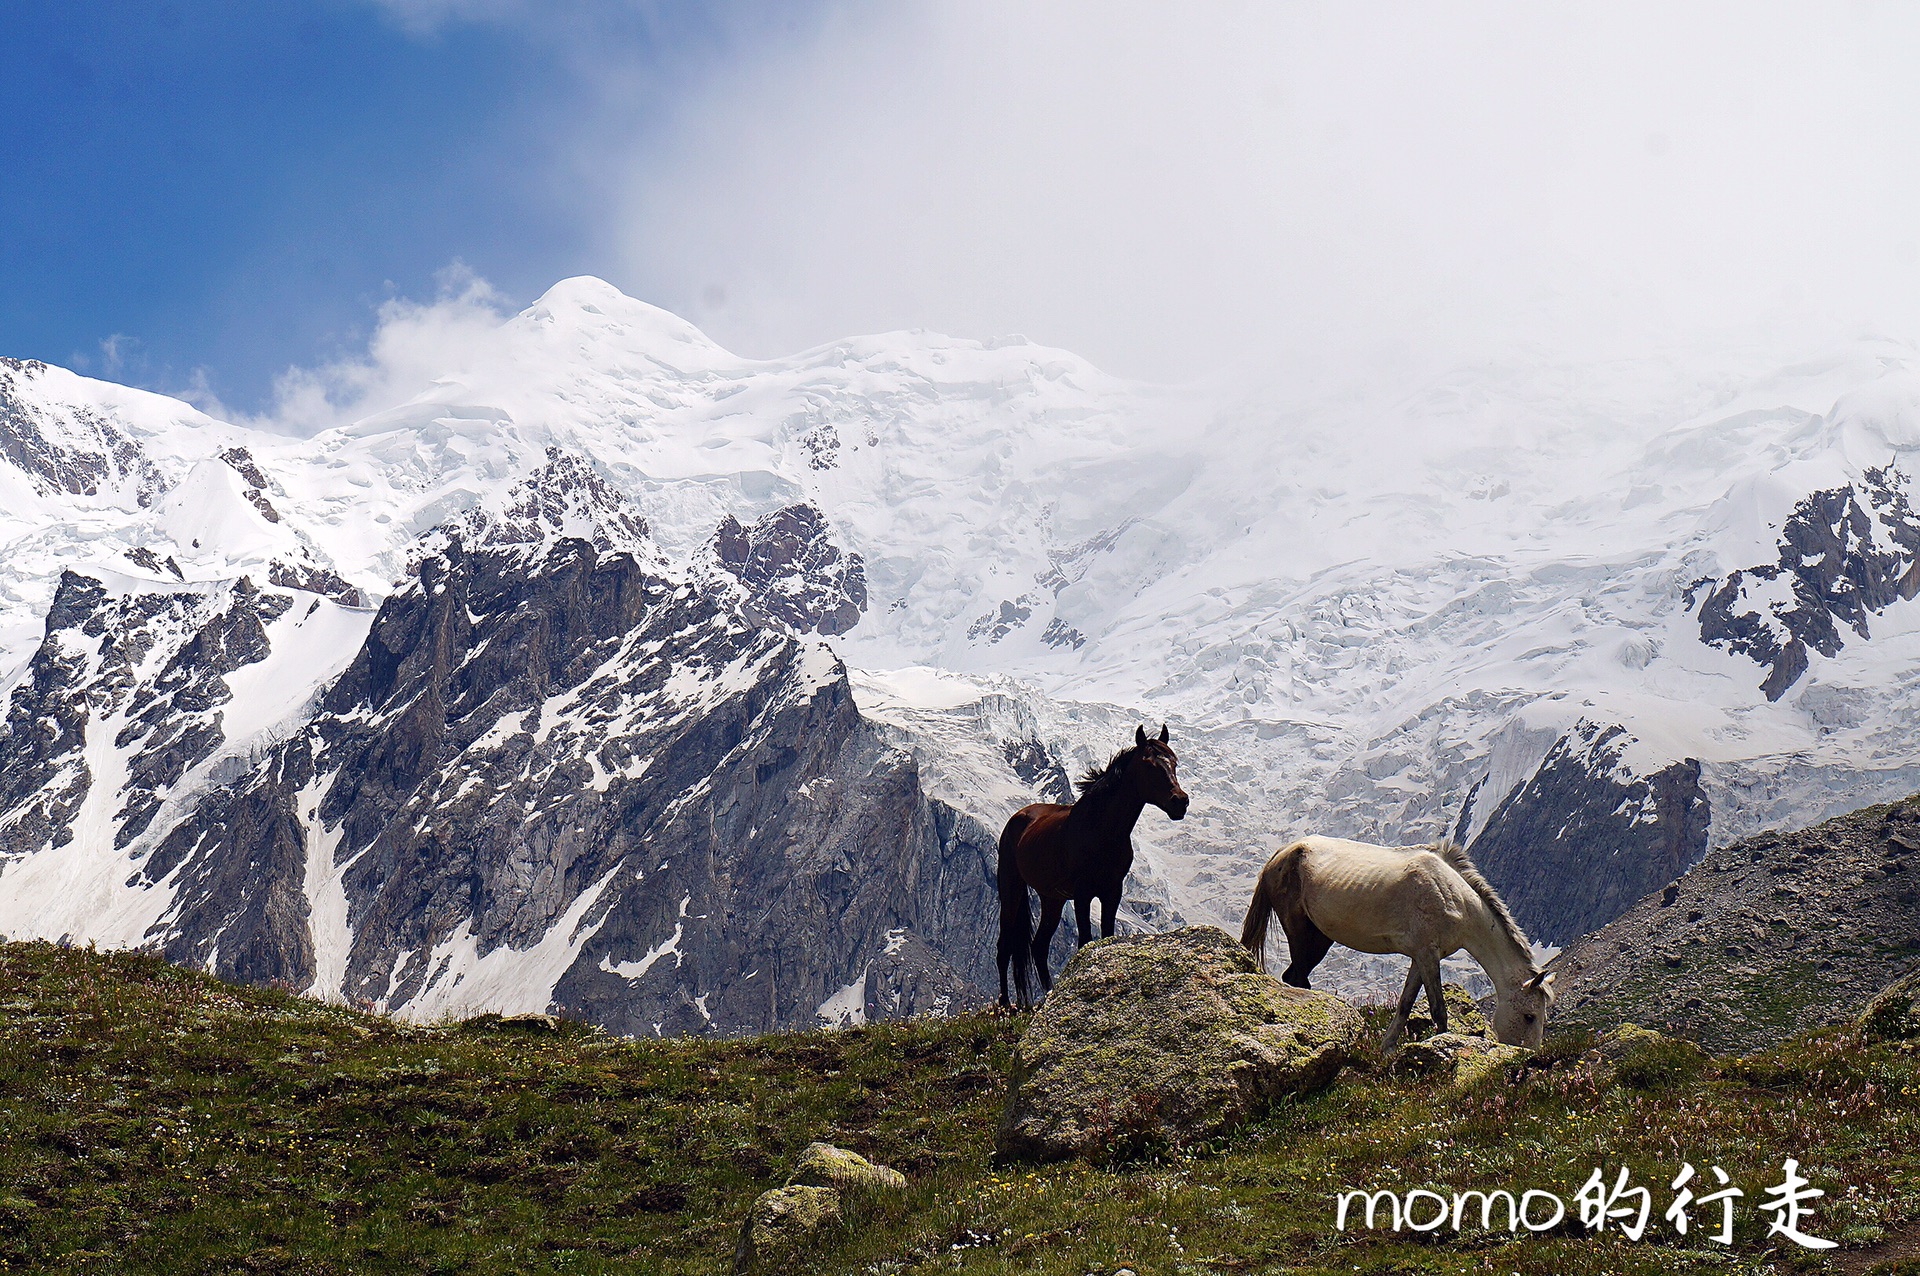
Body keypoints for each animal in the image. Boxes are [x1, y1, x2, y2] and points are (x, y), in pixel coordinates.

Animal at [1006, 725, 1182, 1005]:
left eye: (1174, 762)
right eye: (1149, 764)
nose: (1180, 801)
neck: (1102, 830)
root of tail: (1020, 816)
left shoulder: (1112, 891)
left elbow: (1106, 936)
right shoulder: (1083, 893)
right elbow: (1085, 940)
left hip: (1052, 899)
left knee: (1039, 946)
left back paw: (1049, 993)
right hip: (1010, 886)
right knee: (1003, 948)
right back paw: (1005, 1004)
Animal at [1236, 836, 1551, 1043]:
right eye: (1529, 1016)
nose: (1526, 1054)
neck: (1455, 898)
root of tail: (1281, 854)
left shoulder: (1421, 956)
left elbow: (1404, 1006)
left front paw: (1386, 1051)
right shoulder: (1427, 954)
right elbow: (1438, 1010)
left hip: (1319, 939)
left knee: (1296, 977)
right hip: (1300, 933)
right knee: (1296, 977)